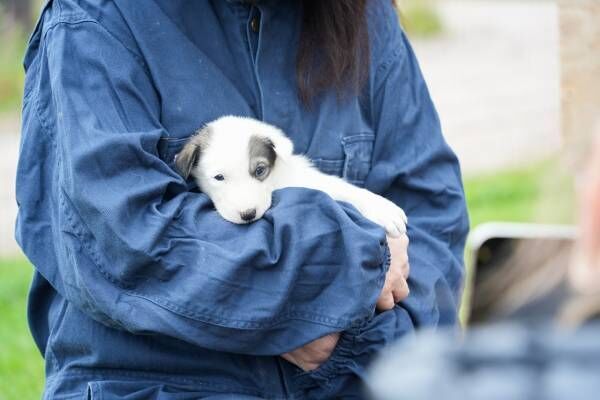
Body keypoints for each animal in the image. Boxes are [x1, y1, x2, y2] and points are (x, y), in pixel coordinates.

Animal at [173, 115, 408, 236]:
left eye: (260, 170)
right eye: (219, 177)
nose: (248, 214)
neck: (276, 182)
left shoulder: (310, 179)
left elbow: (344, 189)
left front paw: (382, 208)